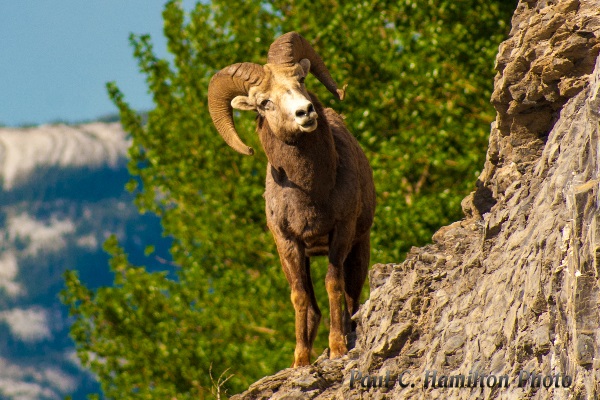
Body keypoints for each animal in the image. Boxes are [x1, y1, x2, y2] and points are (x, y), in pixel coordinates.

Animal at [207, 31, 376, 368]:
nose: (305, 112)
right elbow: (299, 297)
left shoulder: (340, 233)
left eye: (300, 79)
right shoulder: (288, 243)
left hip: (359, 246)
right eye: (265, 102)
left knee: (352, 294)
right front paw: (300, 360)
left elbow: (333, 284)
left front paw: (337, 347)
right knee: (312, 304)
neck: (310, 193)